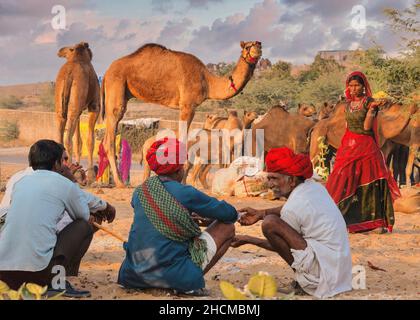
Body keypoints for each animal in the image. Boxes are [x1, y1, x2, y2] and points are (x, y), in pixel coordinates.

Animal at [54, 41, 99, 181]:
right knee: (68, 139)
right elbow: (90, 140)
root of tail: (68, 74)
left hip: (62, 106)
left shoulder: (79, 109)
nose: (60, 51)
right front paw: (91, 175)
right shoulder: (94, 106)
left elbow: (79, 141)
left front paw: (81, 171)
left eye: (67, 50)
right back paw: (72, 172)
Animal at [101, 42, 262, 188]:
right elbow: (183, 139)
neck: (207, 81)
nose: (257, 50)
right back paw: (119, 183)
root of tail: (106, 73)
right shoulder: (187, 105)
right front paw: (182, 180)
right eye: (247, 46)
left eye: (259, 43)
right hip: (116, 87)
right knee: (110, 137)